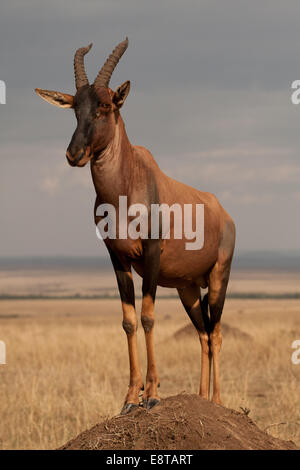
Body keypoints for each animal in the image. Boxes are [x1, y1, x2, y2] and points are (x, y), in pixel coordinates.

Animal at [36, 38, 236, 414]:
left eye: (105, 106)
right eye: (75, 107)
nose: (74, 154)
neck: (128, 184)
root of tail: (223, 213)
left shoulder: (152, 255)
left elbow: (147, 317)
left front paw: (153, 394)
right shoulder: (118, 259)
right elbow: (128, 321)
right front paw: (130, 398)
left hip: (219, 277)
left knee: (216, 333)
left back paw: (217, 401)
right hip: (188, 288)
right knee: (202, 333)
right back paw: (201, 397)